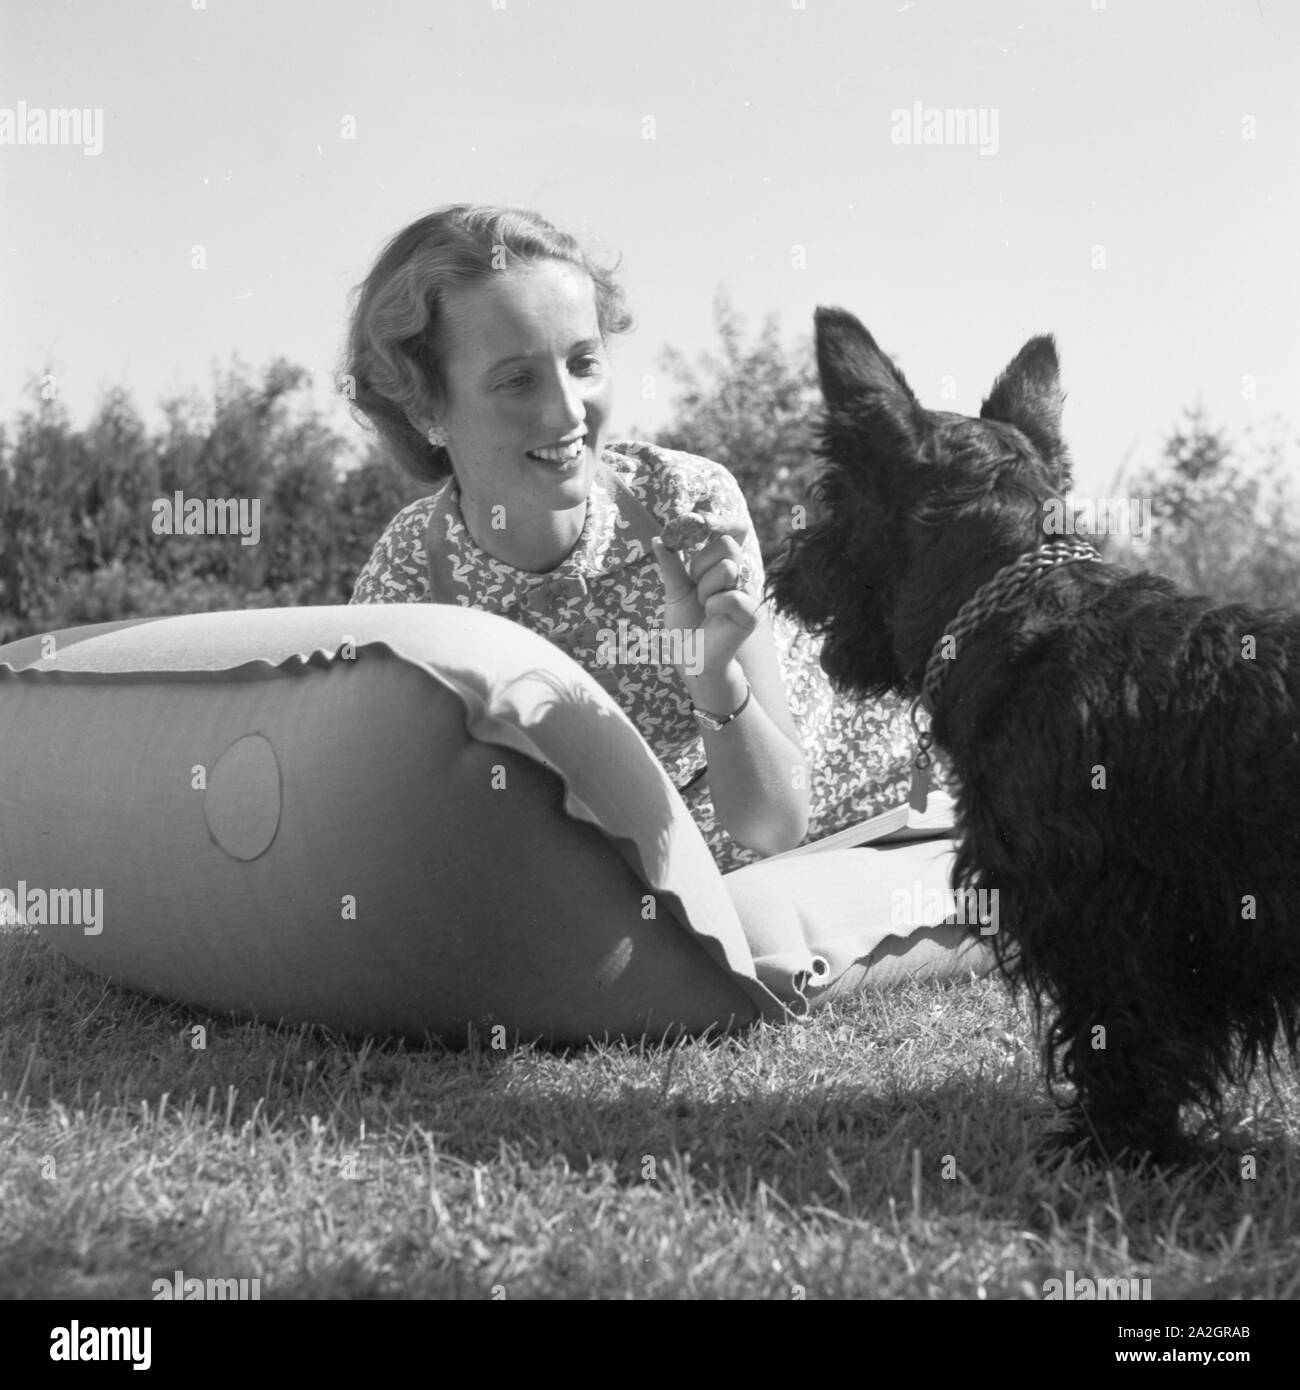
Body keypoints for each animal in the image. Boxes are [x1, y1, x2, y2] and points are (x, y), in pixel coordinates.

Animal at [773, 307, 1300, 1162]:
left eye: (835, 488)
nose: (785, 566)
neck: (1023, 612)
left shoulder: (1103, 911)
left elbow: (1118, 1031)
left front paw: (1113, 1142)